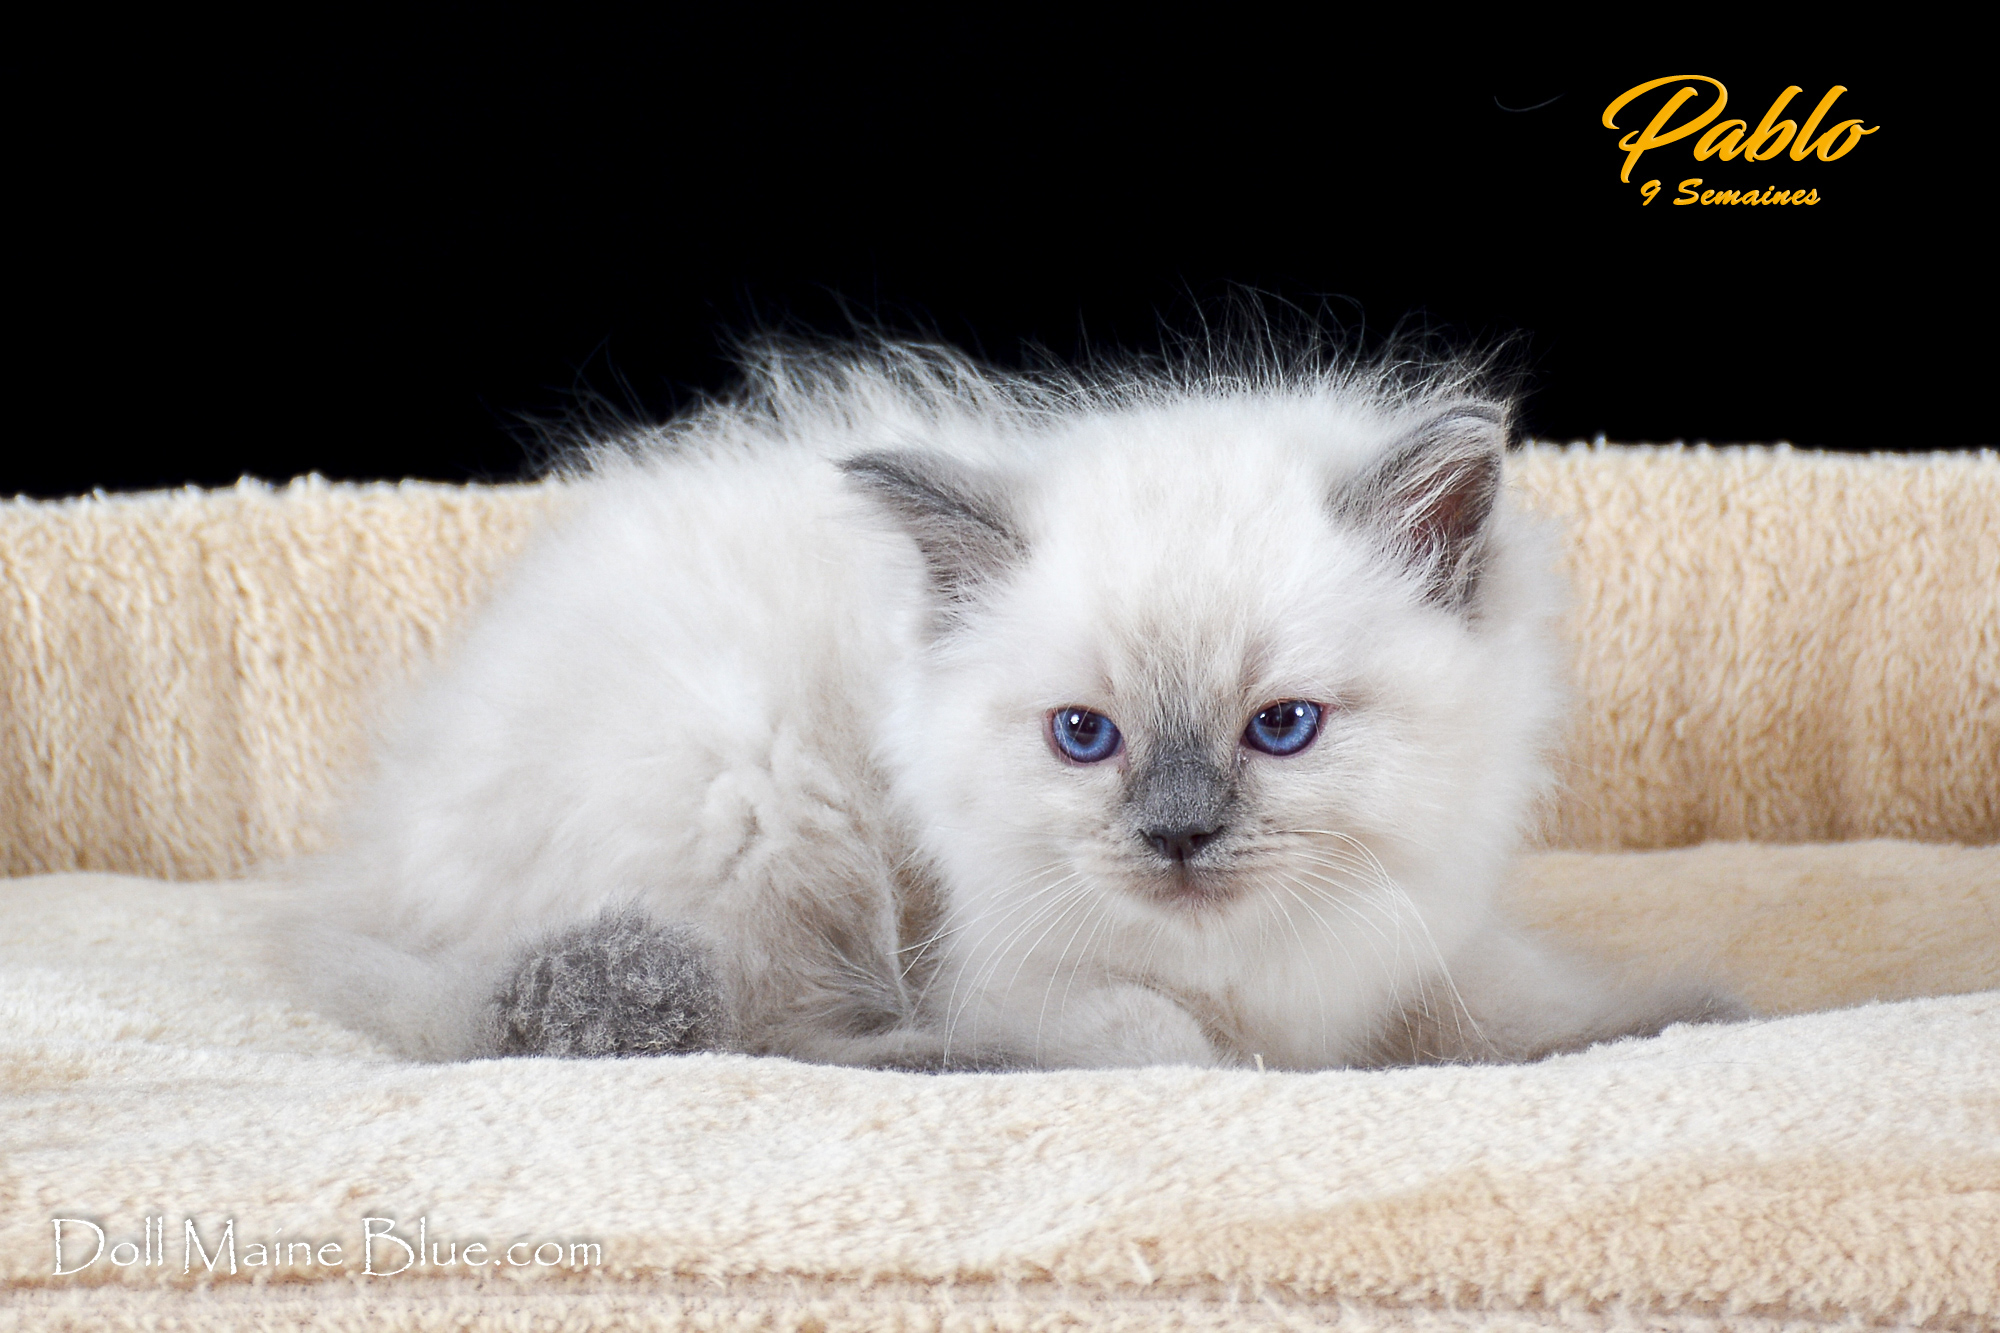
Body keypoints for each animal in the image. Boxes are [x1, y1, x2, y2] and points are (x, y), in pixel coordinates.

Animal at [282, 339, 1742, 1071]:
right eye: (1083, 738)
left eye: (1280, 728)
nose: (1178, 837)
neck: (1258, 971)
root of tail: (378, 890)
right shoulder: (1016, 974)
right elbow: (1170, 1046)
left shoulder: (1413, 940)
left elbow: (1524, 1009)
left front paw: (1687, 1017)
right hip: (755, 791)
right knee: (771, 1035)